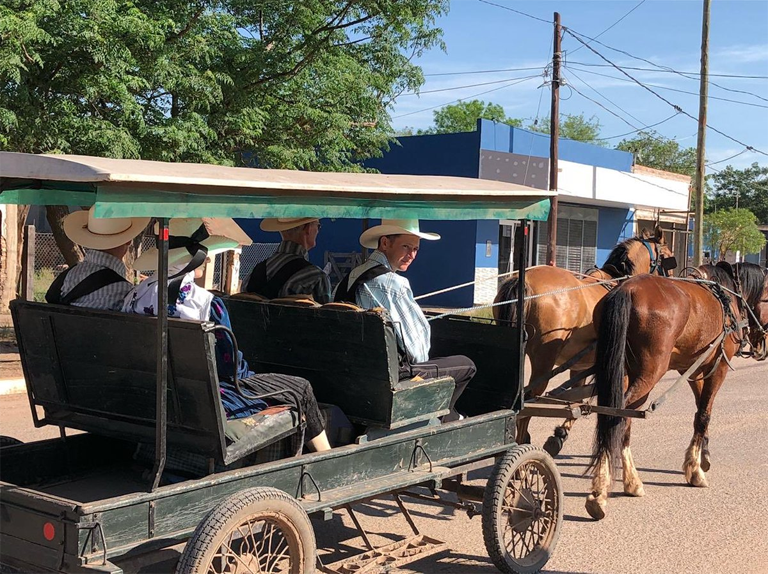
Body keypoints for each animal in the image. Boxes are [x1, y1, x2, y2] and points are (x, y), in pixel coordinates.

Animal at [496, 227, 676, 452]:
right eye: (668, 257)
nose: (672, 282)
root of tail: (524, 280)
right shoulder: (621, 371)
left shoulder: (579, 366)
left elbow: (577, 398)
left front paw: (560, 434)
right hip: (543, 361)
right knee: (528, 402)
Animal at [584, 264, 764, 520]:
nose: (760, 345)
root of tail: (626, 289)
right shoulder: (718, 367)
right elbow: (704, 415)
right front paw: (696, 471)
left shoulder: (694, 370)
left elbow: (700, 412)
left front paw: (702, 457)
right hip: (650, 372)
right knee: (616, 417)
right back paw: (601, 491)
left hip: (622, 370)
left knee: (618, 417)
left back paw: (630, 482)